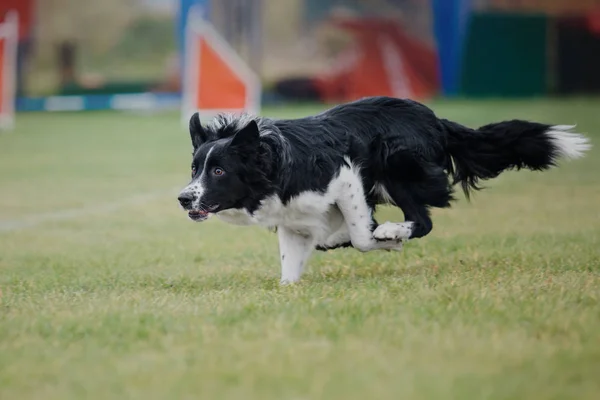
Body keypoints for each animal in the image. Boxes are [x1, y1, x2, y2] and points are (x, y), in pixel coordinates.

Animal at [178, 95, 592, 282]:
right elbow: (291, 264)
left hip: (396, 165)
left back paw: (393, 230)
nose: (183, 198)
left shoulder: (345, 175)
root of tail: (436, 120)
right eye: (195, 168)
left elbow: (364, 236)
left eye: (219, 171)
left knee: (423, 220)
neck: (273, 162)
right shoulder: (293, 216)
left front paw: (385, 239)